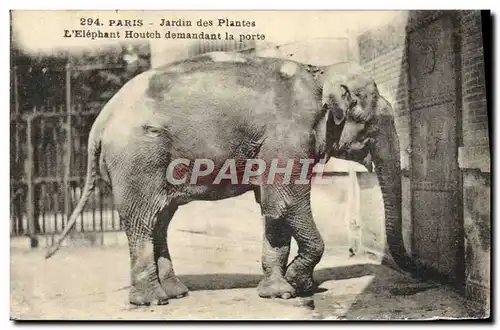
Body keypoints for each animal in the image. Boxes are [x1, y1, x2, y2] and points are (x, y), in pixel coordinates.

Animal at [45, 51, 412, 306]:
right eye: (374, 123)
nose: (414, 270)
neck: (320, 71)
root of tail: (100, 121)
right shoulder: (287, 136)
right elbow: (286, 201)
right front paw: (298, 284)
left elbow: (271, 209)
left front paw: (279, 292)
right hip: (137, 160)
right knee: (143, 221)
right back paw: (152, 301)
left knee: (160, 219)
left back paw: (177, 293)